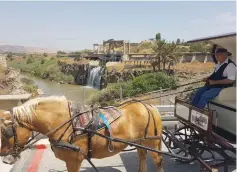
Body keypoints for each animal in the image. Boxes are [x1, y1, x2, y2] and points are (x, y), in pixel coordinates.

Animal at [0, 96, 163, 171]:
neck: (67, 123)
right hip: (140, 142)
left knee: (158, 161)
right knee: (142, 158)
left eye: (6, 133)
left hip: (152, 143)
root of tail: (149, 106)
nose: (5, 159)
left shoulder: (74, 160)